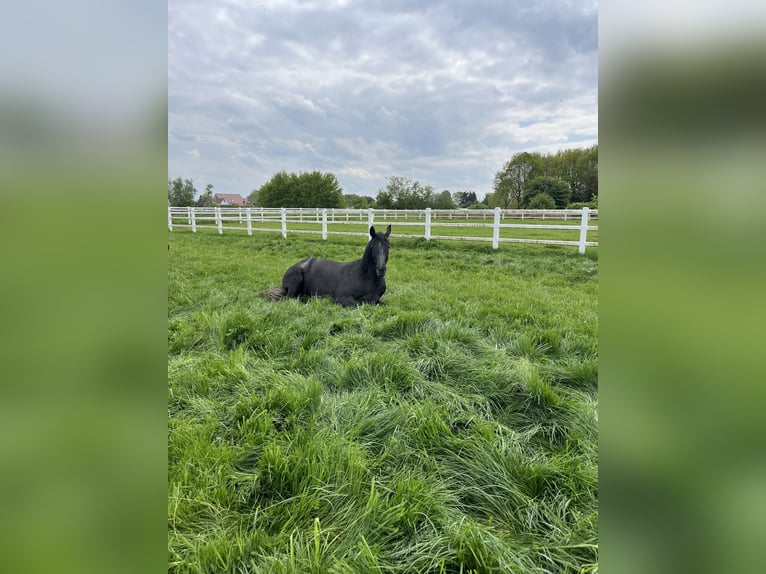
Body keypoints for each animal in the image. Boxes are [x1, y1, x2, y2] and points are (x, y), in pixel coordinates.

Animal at [261, 225, 391, 307]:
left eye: (388, 246)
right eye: (373, 246)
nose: (381, 269)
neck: (366, 278)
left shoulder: (377, 300)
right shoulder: (342, 297)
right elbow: (360, 304)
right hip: (296, 280)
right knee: (289, 298)